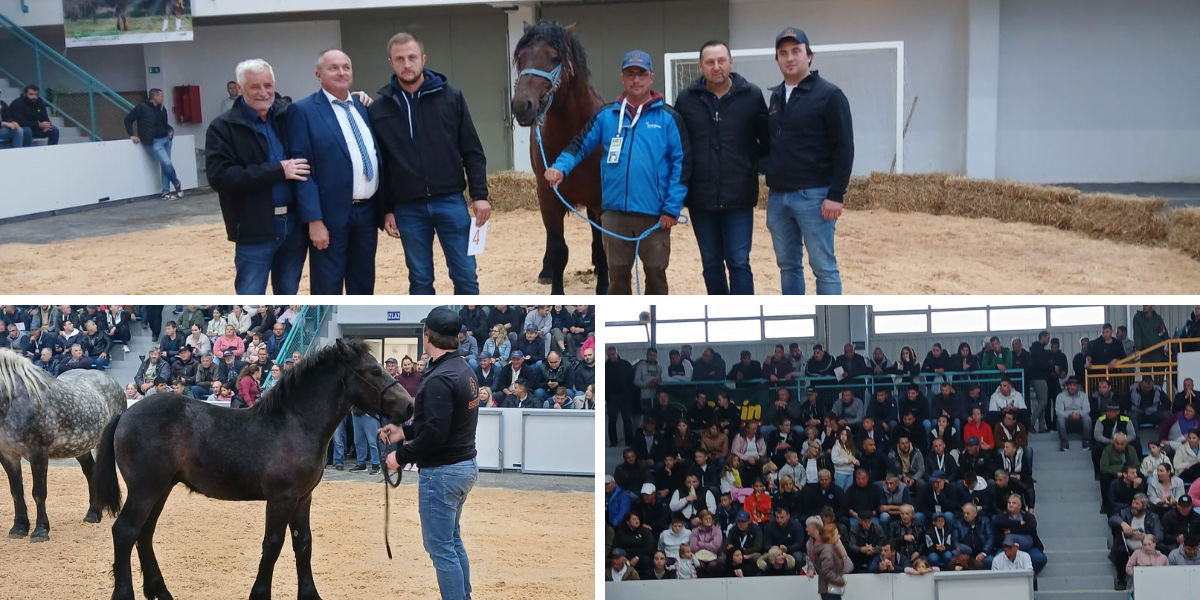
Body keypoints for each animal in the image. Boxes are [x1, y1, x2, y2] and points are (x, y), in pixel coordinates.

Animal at [0, 348, 123, 540]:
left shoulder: (38, 454)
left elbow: (39, 493)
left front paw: (41, 530)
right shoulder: (8, 455)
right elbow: (16, 492)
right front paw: (19, 527)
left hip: (102, 444)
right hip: (80, 447)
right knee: (91, 471)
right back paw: (93, 513)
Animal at [513, 22, 609, 294]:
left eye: (555, 58)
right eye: (520, 58)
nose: (521, 105)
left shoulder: (600, 198)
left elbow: (603, 244)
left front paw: (604, 285)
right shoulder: (547, 195)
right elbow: (558, 249)